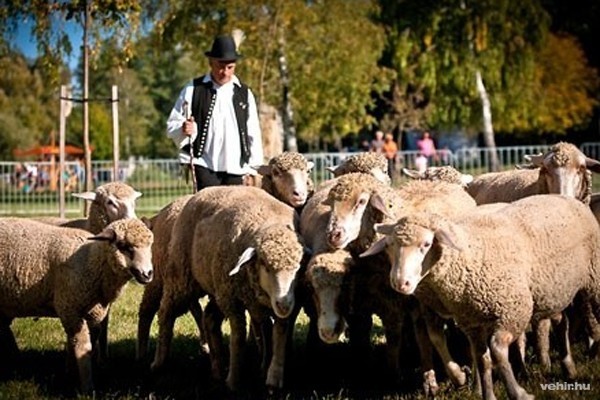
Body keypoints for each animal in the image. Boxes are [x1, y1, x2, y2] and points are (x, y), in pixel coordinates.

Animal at [0, 217, 154, 392]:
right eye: (124, 246)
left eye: (150, 245)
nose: (147, 274)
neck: (91, 261)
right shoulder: (70, 308)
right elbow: (82, 345)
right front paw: (87, 387)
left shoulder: (92, 313)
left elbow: (85, 342)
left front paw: (71, 373)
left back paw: (16, 362)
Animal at [155, 186, 304, 392]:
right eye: (265, 265)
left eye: (298, 267)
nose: (284, 304)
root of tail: (202, 192)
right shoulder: (233, 301)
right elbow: (238, 337)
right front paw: (234, 381)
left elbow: (279, 333)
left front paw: (273, 376)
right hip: (182, 277)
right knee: (166, 313)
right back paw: (159, 362)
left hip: (217, 289)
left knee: (209, 318)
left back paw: (217, 367)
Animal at [364, 192, 600, 398]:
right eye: (390, 246)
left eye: (426, 244)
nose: (400, 283)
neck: (471, 253)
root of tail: (571, 199)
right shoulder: (471, 322)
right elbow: (481, 358)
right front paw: (486, 393)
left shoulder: (511, 312)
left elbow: (496, 351)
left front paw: (518, 393)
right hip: (551, 293)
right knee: (562, 321)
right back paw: (569, 368)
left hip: (592, 280)